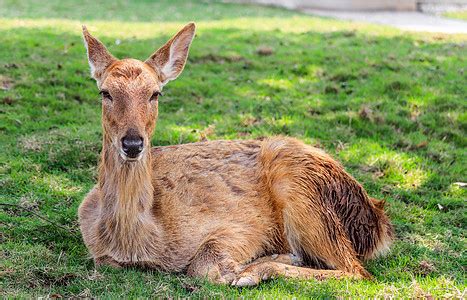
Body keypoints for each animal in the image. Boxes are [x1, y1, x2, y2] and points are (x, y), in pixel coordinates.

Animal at [78, 22, 394, 286]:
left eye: (155, 93)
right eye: (105, 92)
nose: (132, 144)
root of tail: (377, 219)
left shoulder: (244, 226)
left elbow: (204, 267)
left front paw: (253, 265)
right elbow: (107, 262)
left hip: (303, 192)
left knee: (356, 270)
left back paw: (261, 268)